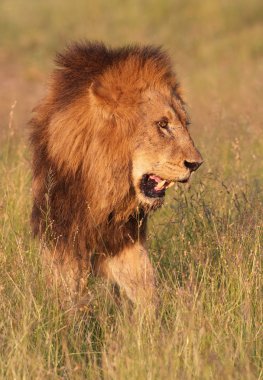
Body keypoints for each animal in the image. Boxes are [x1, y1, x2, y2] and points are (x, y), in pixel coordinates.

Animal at [30, 41, 204, 310]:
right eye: (162, 124)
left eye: (186, 124)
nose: (195, 164)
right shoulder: (62, 233)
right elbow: (66, 293)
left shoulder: (124, 239)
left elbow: (146, 288)